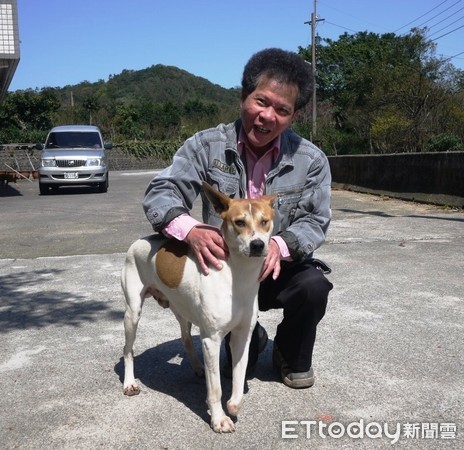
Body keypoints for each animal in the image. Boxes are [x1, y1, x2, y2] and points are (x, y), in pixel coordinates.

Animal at [121, 182, 278, 432]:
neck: (238, 275)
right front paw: (219, 418)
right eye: (239, 222)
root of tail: (140, 240)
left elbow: (238, 378)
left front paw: (232, 405)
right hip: (132, 314)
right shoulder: (211, 340)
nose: (257, 245)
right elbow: (216, 389)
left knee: (186, 340)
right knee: (128, 350)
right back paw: (129, 383)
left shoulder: (242, 336)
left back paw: (197, 368)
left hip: (182, 313)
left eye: (265, 221)